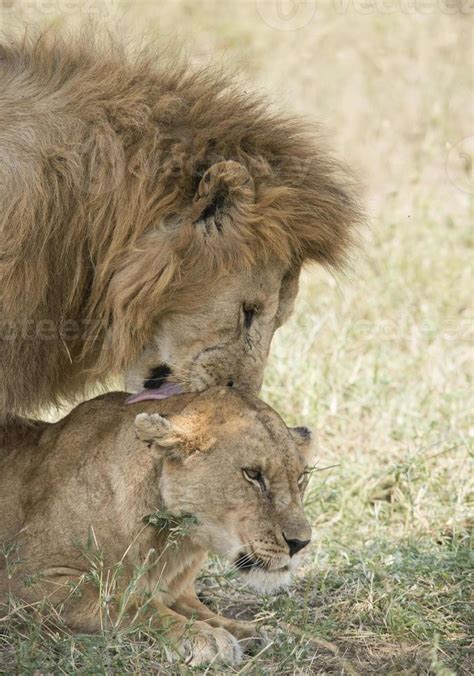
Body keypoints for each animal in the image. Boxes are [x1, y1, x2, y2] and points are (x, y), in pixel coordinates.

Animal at [0, 386, 314, 664]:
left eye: (300, 477)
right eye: (252, 474)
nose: (301, 543)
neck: (172, 543)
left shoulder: (178, 590)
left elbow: (201, 611)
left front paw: (255, 631)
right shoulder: (24, 579)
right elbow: (127, 604)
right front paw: (202, 637)